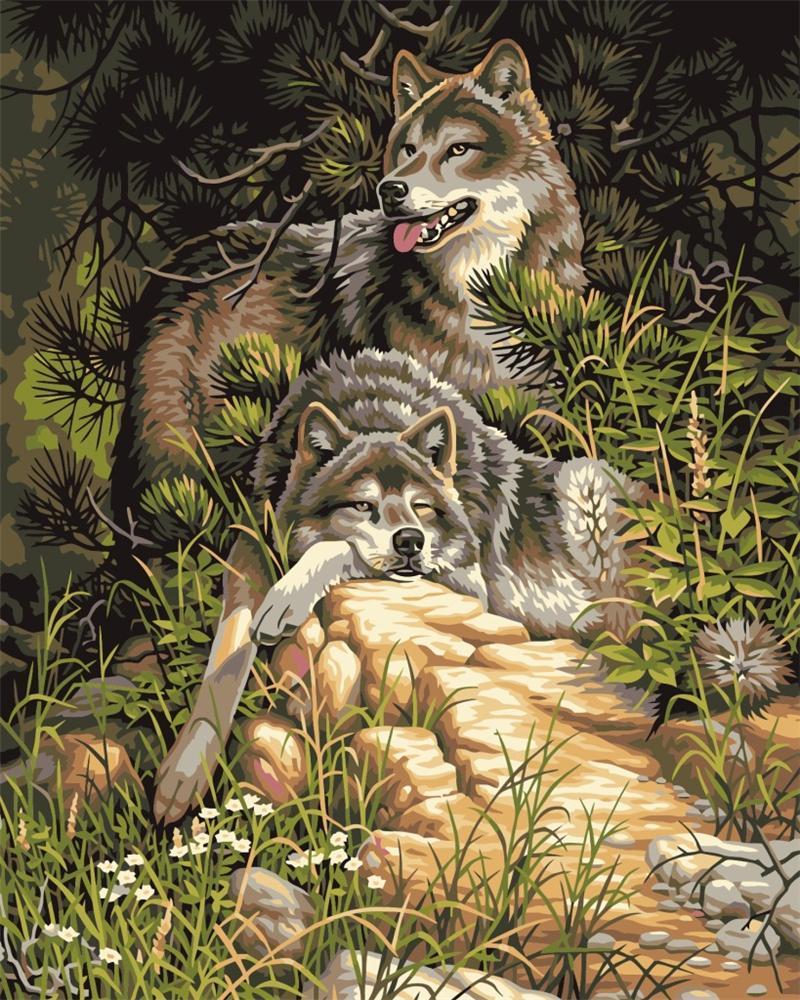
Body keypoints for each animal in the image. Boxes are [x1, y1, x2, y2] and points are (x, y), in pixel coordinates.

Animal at [153, 349, 648, 823]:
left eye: (422, 506)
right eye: (362, 505)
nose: (411, 541)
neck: (375, 413)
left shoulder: (466, 582)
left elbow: (338, 549)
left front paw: (289, 598)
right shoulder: (251, 547)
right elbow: (228, 651)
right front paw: (182, 775)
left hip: (584, 484)